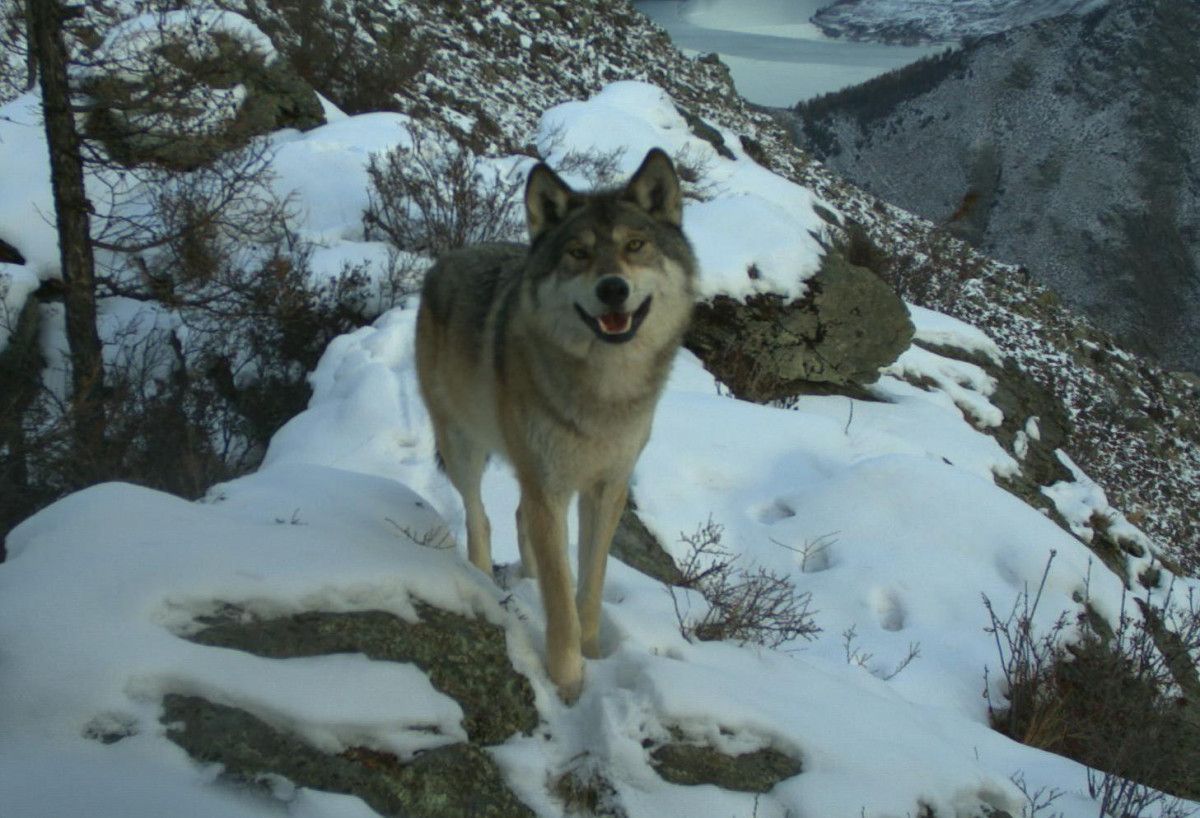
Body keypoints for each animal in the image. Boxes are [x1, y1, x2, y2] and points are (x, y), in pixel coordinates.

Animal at [415, 146, 700, 695]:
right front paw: (569, 685)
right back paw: (482, 579)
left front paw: (593, 656)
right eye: (578, 253)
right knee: (479, 516)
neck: (604, 392)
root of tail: (449, 257)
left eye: (635, 246)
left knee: (516, 517)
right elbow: (561, 602)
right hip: (463, 446)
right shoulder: (549, 488)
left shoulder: (606, 489)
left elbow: (588, 589)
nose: (613, 289)